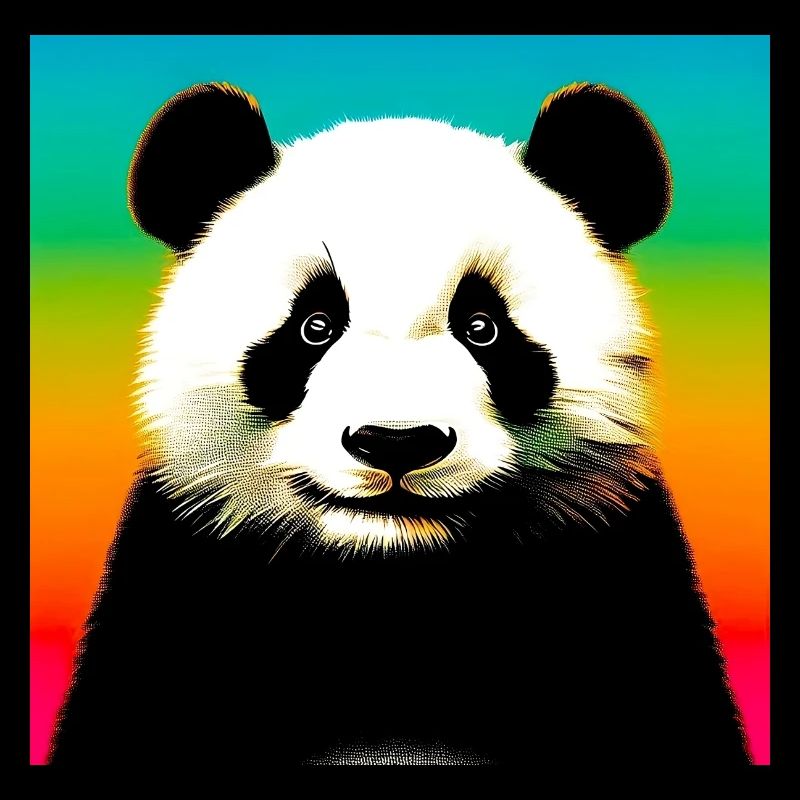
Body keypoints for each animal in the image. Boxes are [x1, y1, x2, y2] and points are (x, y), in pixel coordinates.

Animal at [50, 81, 750, 766]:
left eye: (483, 327)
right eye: (314, 326)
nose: (396, 441)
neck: (395, 589)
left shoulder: (622, 575)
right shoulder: (175, 578)